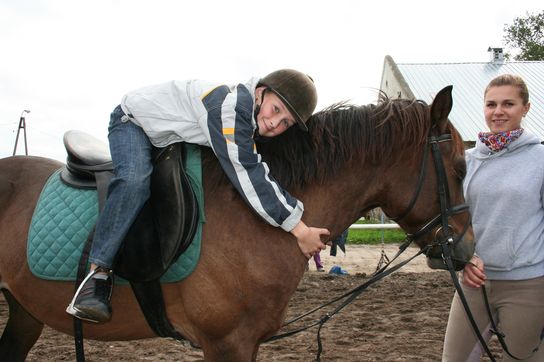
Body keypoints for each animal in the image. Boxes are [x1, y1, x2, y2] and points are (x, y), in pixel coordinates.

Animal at [0, 86, 474, 360]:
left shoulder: (247, 342)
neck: (252, 216)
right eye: (461, 168)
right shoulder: (226, 343)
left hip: (24, 311)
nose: (467, 249)